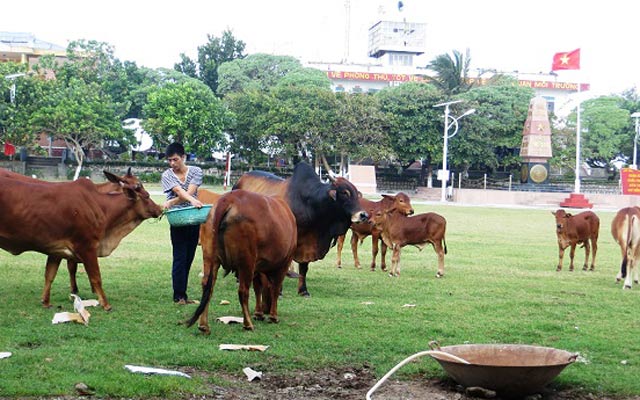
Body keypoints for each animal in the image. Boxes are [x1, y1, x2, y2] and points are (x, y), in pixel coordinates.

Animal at [0, 169, 162, 310]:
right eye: (146, 195)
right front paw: (105, 304)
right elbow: (96, 277)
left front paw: (46, 302)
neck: (101, 206)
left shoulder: (56, 250)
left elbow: (49, 275)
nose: (160, 208)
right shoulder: (87, 247)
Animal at [185, 190, 296, 332]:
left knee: (207, 286)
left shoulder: (257, 266)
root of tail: (229, 198)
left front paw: (259, 313)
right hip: (246, 261)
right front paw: (273, 316)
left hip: (210, 257)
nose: (266, 309)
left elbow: (258, 288)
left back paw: (203, 325)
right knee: (243, 291)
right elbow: (275, 288)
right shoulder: (284, 263)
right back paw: (248, 324)